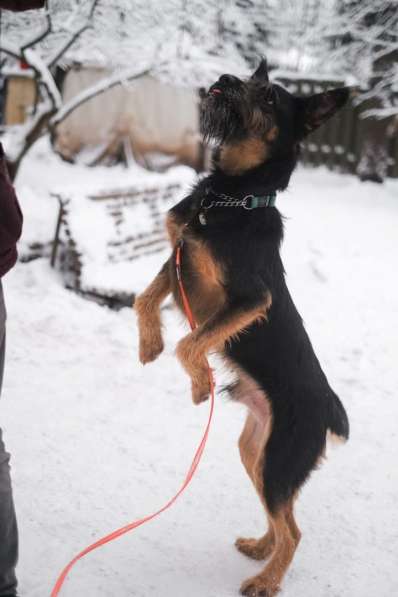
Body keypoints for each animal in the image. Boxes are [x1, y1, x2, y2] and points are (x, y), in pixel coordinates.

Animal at [135, 59, 350, 596]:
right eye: (254, 79)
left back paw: (265, 581)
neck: (230, 196)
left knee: (294, 530)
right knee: (285, 518)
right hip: (257, 452)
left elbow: (190, 343)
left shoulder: (249, 298)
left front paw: (200, 385)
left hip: (279, 459)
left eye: (270, 97)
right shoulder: (179, 257)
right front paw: (149, 343)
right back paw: (260, 549)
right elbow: (143, 299)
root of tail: (327, 409)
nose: (226, 79)